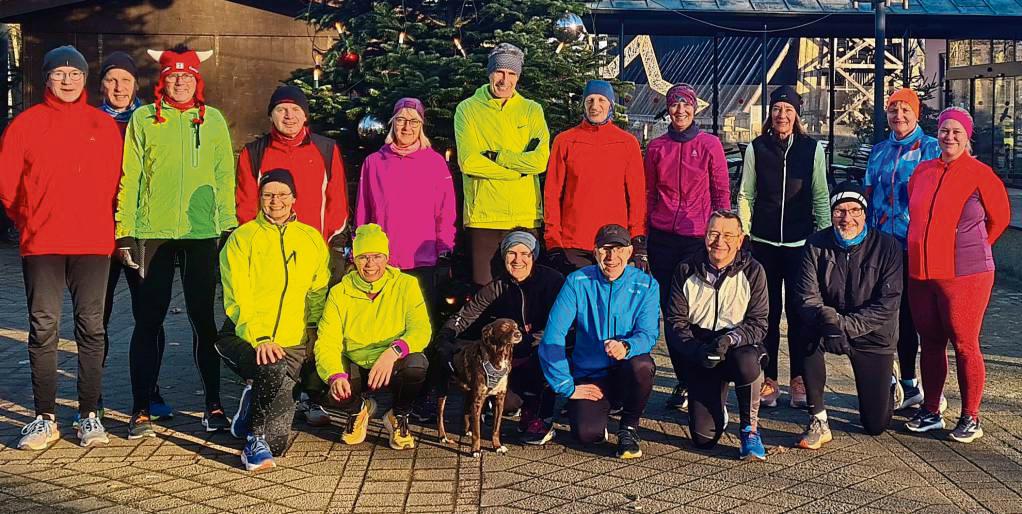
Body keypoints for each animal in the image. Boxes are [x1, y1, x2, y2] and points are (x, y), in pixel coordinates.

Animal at [435, 318, 523, 457]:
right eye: (504, 326)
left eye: (516, 326)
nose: (518, 334)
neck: (499, 357)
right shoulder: (478, 400)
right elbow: (477, 431)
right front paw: (475, 450)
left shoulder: (499, 399)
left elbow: (496, 428)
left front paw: (497, 446)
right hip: (442, 388)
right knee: (440, 414)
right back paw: (442, 436)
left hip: (469, 392)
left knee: (465, 410)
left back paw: (466, 430)